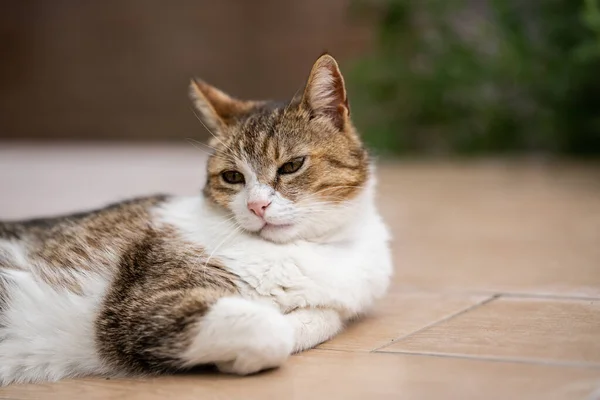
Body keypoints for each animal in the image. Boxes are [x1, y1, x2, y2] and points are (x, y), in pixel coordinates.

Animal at [0, 53, 394, 384]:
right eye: (232, 177)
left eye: (292, 166)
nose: (257, 206)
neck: (320, 248)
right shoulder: (140, 307)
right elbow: (269, 328)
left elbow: (323, 317)